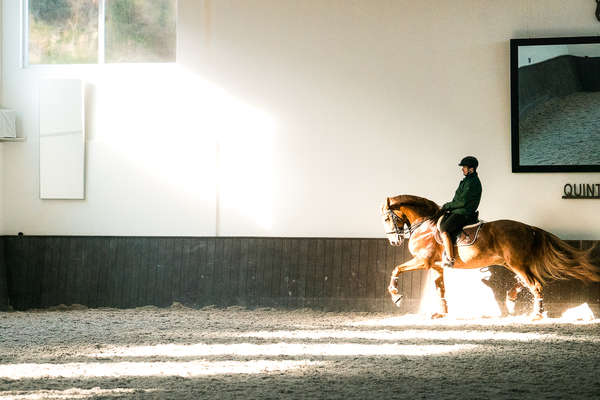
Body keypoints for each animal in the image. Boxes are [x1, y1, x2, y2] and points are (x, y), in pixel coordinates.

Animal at [382, 194, 596, 318]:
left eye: (386, 218)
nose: (393, 241)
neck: (425, 225)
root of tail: (529, 228)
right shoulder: (435, 266)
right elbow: (440, 289)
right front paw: (442, 313)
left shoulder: (423, 262)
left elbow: (396, 269)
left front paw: (396, 296)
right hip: (512, 263)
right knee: (526, 281)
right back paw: (513, 296)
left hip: (516, 263)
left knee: (535, 284)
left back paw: (537, 314)